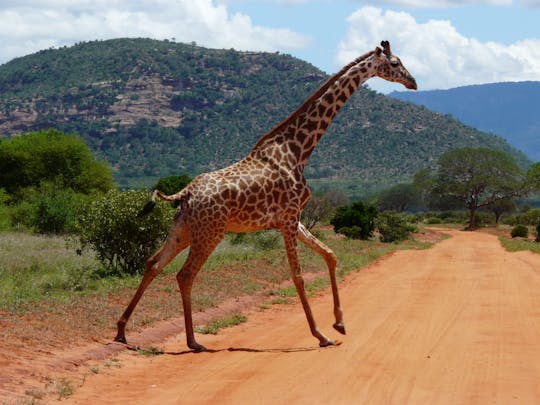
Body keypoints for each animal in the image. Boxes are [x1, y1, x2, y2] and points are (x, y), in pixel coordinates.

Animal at [115, 41, 418, 350]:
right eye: (395, 63)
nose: (413, 82)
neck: (298, 151)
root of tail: (186, 192)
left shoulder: (293, 219)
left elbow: (330, 255)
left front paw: (340, 324)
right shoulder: (289, 218)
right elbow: (298, 275)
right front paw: (321, 335)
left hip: (184, 229)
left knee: (153, 263)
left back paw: (122, 330)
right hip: (211, 232)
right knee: (184, 274)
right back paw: (192, 341)